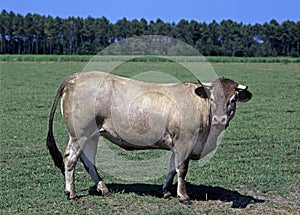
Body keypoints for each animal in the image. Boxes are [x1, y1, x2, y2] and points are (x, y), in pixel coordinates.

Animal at [46, 70, 253, 202]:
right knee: (70, 158)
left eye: (232, 99)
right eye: (212, 98)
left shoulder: (177, 145)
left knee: (88, 160)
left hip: (92, 135)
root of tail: (78, 76)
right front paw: (183, 196)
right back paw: (72, 193)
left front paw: (166, 192)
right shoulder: (185, 142)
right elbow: (182, 169)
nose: (219, 119)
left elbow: (171, 169)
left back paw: (103, 189)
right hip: (79, 134)